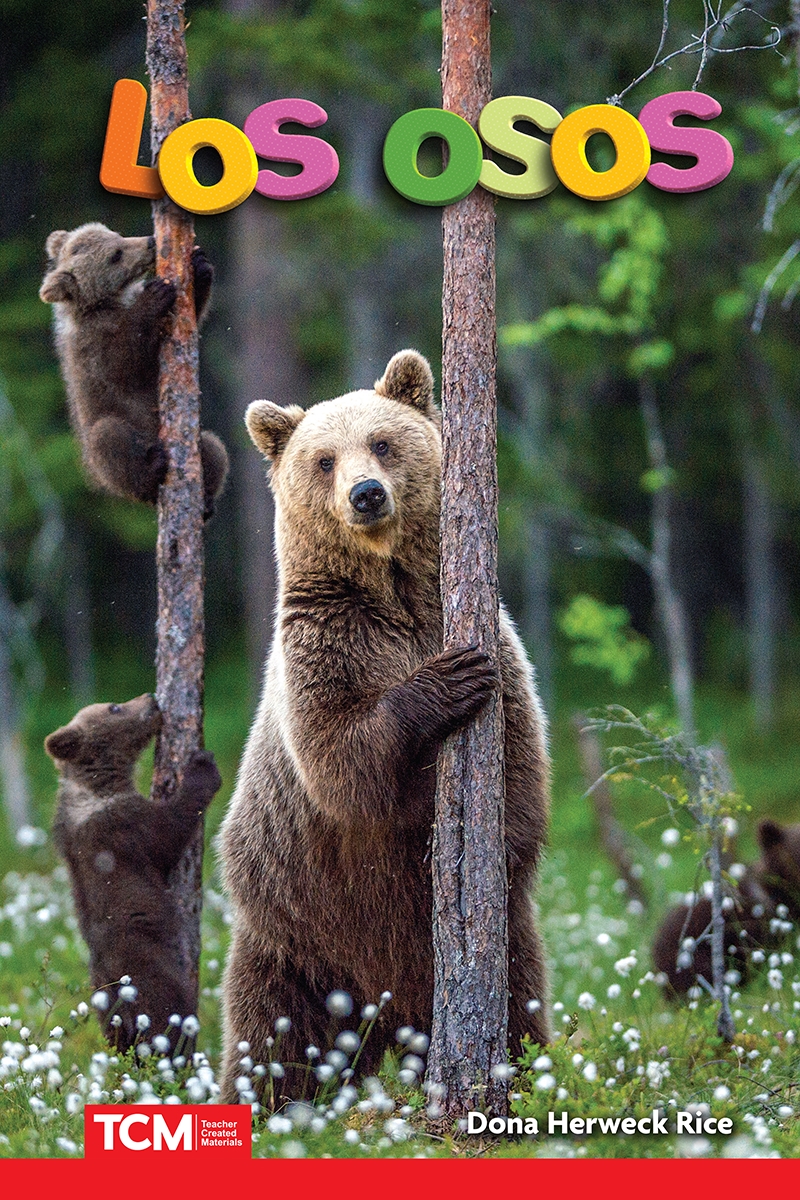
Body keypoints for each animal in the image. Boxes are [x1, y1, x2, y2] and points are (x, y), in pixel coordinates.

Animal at [39, 222, 229, 518]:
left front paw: (199, 265)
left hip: (199, 443)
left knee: (213, 446)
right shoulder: (93, 345)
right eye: (115, 255)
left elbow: (190, 317)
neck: (107, 302)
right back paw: (152, 470)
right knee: (109, 439)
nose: (151, 241)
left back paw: (207, 500)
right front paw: (155, 295)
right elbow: (124, 364)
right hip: (105, 446)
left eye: (116, 235)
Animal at [45, 693, 222, 1051]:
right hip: (150, 978)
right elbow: (169, 831)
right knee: (168, 1020)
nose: (151, 698)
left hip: (103, 1009)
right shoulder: (124, 827)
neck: (98, 786)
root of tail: (117, 998)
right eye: (113, 707)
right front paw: (202, 766)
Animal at [218, 349, 551, 1101]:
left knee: (519, 999)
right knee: (272, 1037)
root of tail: (385, 1015)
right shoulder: (327, 645)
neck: (391, 588)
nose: (366, 494)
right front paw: (446, 682)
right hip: (295, 933)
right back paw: (267, 1101)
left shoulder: (490, 639)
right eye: (322, 459)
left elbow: (520, 763)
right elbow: (342, 759)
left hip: (496, 948)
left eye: (382, 442)